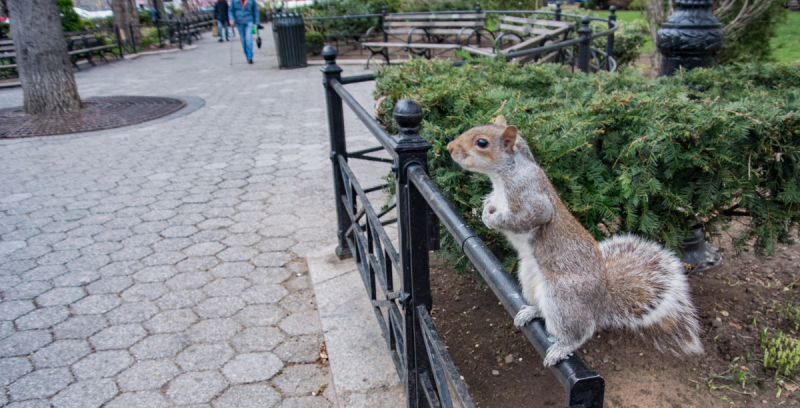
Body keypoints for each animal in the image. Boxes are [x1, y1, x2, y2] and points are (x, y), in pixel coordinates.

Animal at [446, 114, 704, 366]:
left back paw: (563, 347)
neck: (503, 176)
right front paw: (484, 212)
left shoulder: (531, 197)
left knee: (581, 331)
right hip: (529, 277)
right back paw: (531, 312)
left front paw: (494, 220)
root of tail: (601, 300)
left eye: (482, 142)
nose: (449, 148)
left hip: (563, 298)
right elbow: (490, 203)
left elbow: (529, 216)